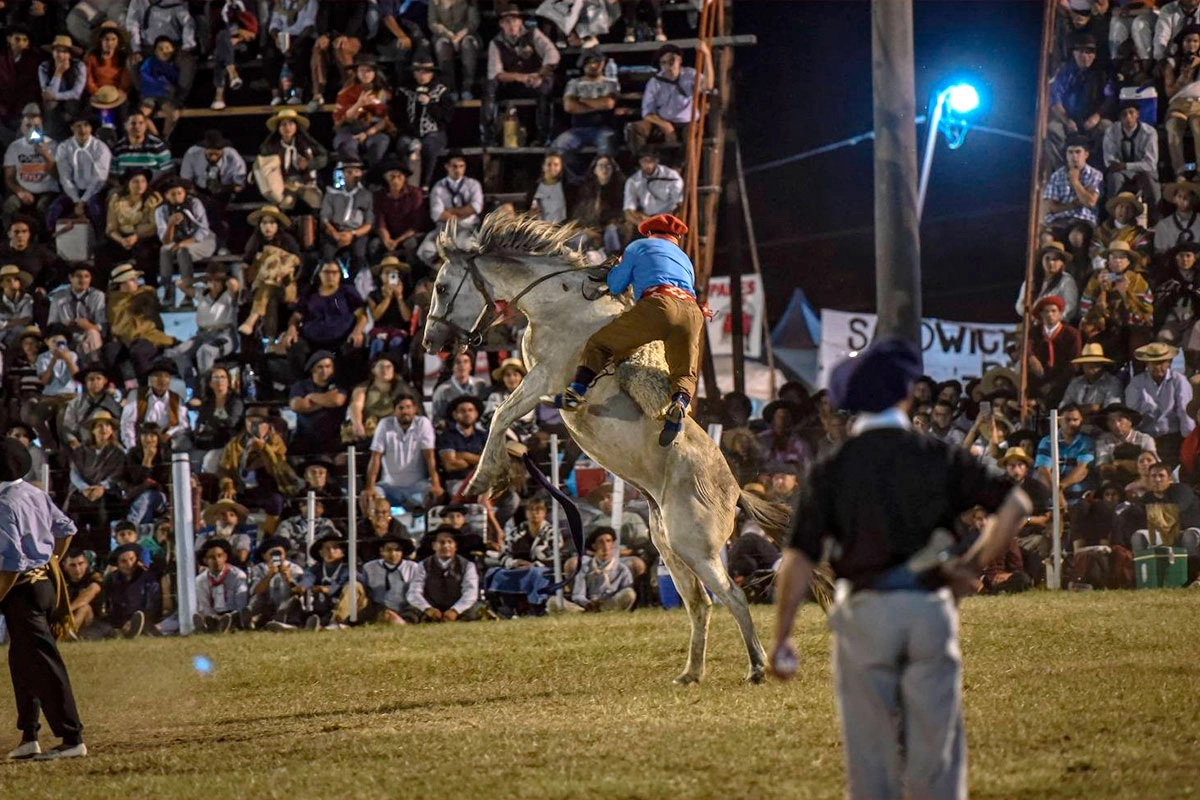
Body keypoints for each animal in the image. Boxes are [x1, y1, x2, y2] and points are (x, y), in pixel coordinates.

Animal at [420, 212, 787, 681]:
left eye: (442, 287)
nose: (431, 342)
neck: (558, 304)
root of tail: (736, 491)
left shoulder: (545, 377)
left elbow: (501, 414)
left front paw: (485, 477)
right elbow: (506, 418)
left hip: (697, 548)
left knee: (732, 597)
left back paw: (757, 667)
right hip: (669, 546)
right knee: (700, 604)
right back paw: (691, 673)